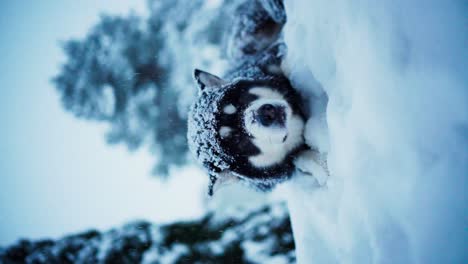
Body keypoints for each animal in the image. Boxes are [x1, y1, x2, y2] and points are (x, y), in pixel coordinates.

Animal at [188, 0, 324, 194]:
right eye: (239, 142)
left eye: (237, 102)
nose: (266, 114)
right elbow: (302, 158)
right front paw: (320, 166)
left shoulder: (266, 60)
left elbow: (282, 57)